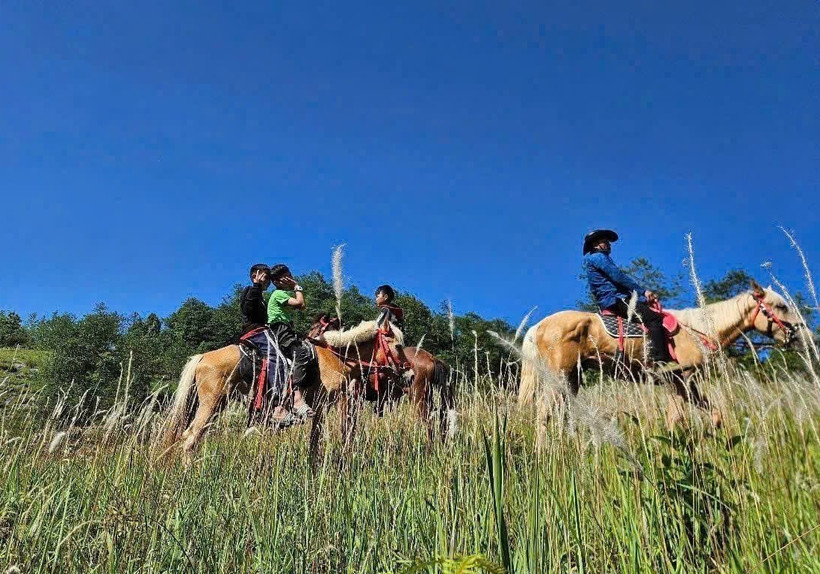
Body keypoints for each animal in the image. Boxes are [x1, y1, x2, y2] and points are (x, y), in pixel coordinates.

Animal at [161, 319, 411, 458]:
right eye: (398, 346)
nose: (409, 375)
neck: (335, 357)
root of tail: (202, 356)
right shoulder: (326, 404)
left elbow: (314, 442)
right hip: (211, 404)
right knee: (190, 439)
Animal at [518, 282, 804, 429]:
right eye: (781, 306)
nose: (802, 335)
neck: (697, 330)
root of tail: (539, 326)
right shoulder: (679, 380)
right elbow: (675, 419)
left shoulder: (688, 384)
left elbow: (714, 415)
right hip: (557, 375)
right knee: (543, 411)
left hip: (572, 378)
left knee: (560, 413)